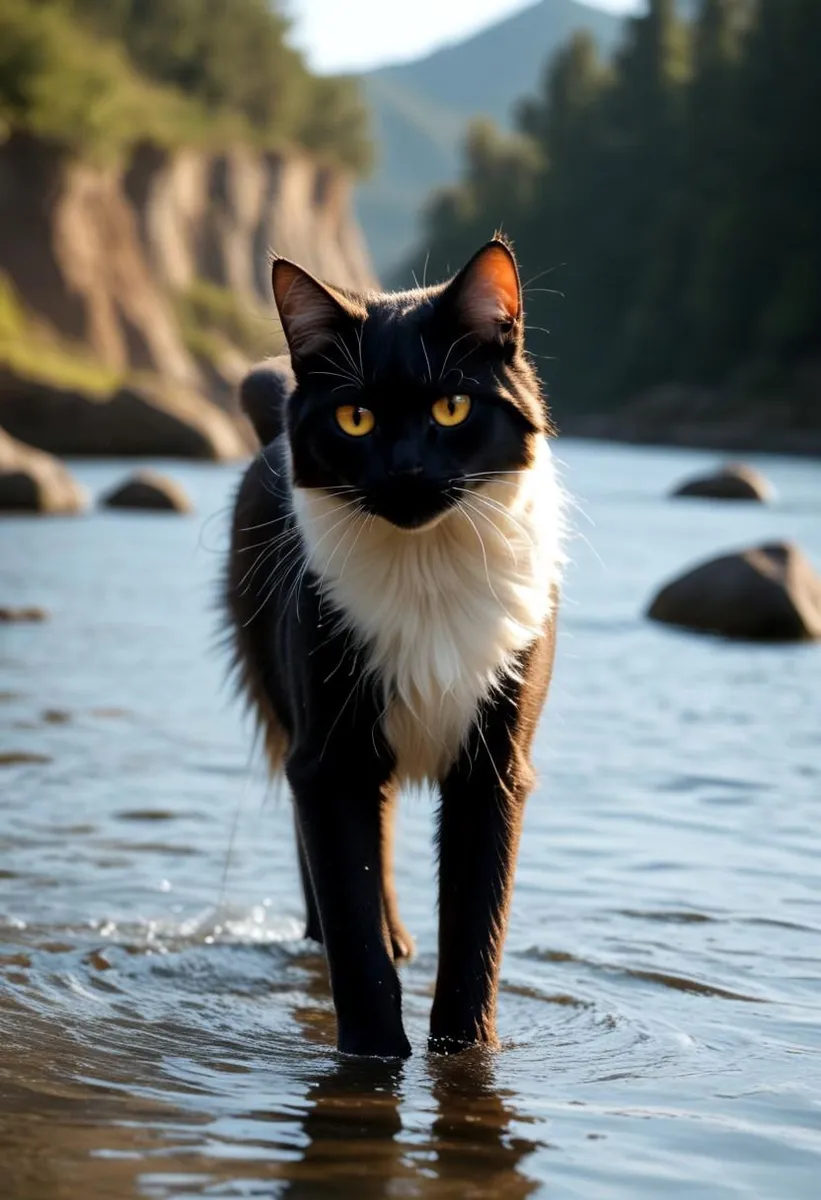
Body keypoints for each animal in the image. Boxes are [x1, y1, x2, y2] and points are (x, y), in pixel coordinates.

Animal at [224, 236, 564, 1060]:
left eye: (452, 407)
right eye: (355, 418)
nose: (405, 470)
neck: (426, 571)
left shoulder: (494, 766)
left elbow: (476, 927)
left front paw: (467, 1051)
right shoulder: (330, 757)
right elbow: (353, 922)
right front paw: (375, 1055)